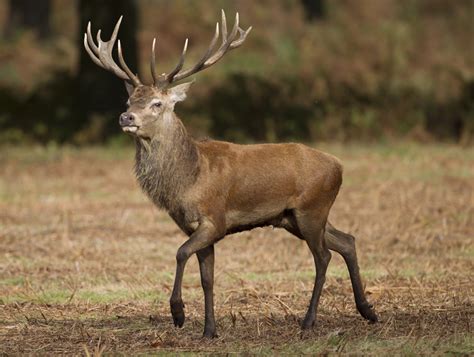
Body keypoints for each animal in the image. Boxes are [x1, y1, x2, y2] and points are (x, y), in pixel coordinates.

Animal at [82, 10, 378, 336]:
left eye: (157, 103)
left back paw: (309, 320)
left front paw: (178, 313)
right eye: (129, 101)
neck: (189, 178)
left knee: (323, 256)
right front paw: (209, 330)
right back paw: (368, 311)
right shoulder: (193, 227)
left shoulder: (215, 219)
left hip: (311, 209)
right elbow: (207, 277)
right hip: (295, 217)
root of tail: (338, 165)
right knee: (347, 241)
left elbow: (180, 253)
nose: (126, 117)